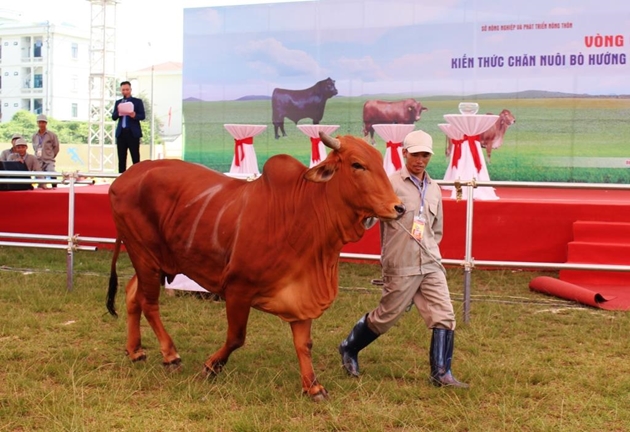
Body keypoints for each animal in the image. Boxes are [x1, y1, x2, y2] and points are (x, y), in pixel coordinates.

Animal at [107, 132, 408, 402]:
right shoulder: (238, 289)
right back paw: (170, 355)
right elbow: (236, 337)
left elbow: (304, 344)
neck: (304, 213)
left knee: (133, 295)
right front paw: (210, 367)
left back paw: (135, 350)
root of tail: (124, 177)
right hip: (145, 255)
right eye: (358, 165)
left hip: (152, 260)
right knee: (149, 303)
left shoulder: (302, 291)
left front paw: (313, 387)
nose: (399, 208)